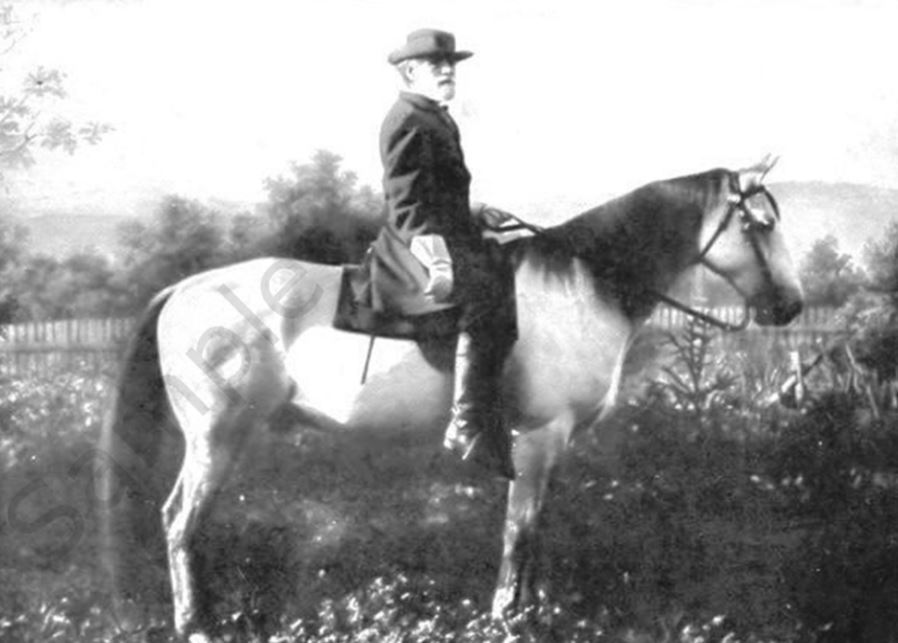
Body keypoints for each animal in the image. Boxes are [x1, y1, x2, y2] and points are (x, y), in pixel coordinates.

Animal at [99, 156, 803, 641]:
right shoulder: (538, 436)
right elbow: (520, 528)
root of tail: (184, 288)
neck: (583, 286)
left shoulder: (551, 445)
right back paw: (197, 624)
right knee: (180, 521)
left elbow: (535, 528)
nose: (791, 306)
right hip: (217, 438)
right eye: (762, 224)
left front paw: (532, 609)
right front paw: (508, 617)